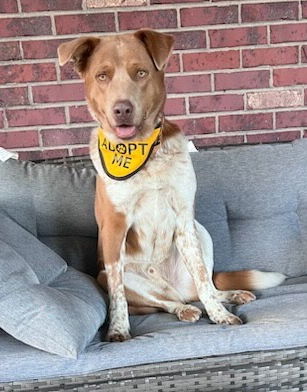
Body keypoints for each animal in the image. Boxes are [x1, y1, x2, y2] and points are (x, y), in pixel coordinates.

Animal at [58, 30, 286, 342]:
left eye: (140, 72)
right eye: (102, 76)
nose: (122, 109)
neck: (143, 154)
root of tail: (172, 287)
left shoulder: (184, 219)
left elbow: (203, 279)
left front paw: (220, 316)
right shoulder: (114, 228)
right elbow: (118, 295)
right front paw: (118, 329)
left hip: (201, 233)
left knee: (204, 287)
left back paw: (229, 295)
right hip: (111, 275)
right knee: (165, 301)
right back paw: (183, 310)